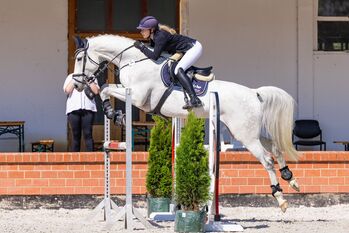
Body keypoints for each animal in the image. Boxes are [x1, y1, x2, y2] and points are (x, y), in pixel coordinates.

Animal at [72, 35, 300, 213]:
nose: (76, 84)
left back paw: (280, 198)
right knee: (275, 148)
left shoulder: (138, 98)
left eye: (80, 58)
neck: (134, 61)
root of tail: (254, 93)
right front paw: (114, 113)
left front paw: (114, 113)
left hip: (245, 134)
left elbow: (105, 88)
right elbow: (106, 88)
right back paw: (290, 178)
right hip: (245, 132)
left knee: (267, 160)